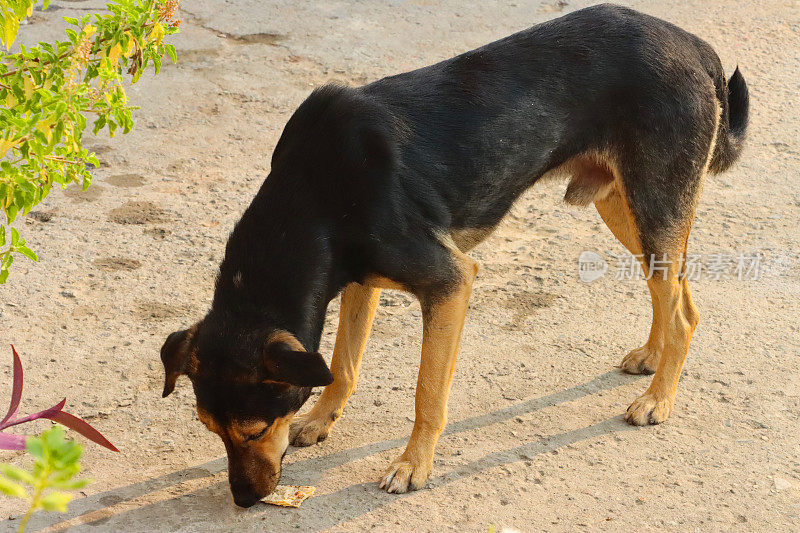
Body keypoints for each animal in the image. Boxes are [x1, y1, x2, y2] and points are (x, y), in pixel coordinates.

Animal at [159, 4, 748, 504]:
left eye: (255, 429)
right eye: (210, 428)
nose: (242, 500)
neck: (314, 193)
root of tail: (695, 45)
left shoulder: (450, 281)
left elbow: (427, 393)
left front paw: (413, 465)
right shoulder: (359, 281)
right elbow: (344, 365)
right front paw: (323, 420)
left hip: (653, 204)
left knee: (684, 311)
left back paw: (658, 399)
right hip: (626, 208)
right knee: (675, 292)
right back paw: (651, 356)